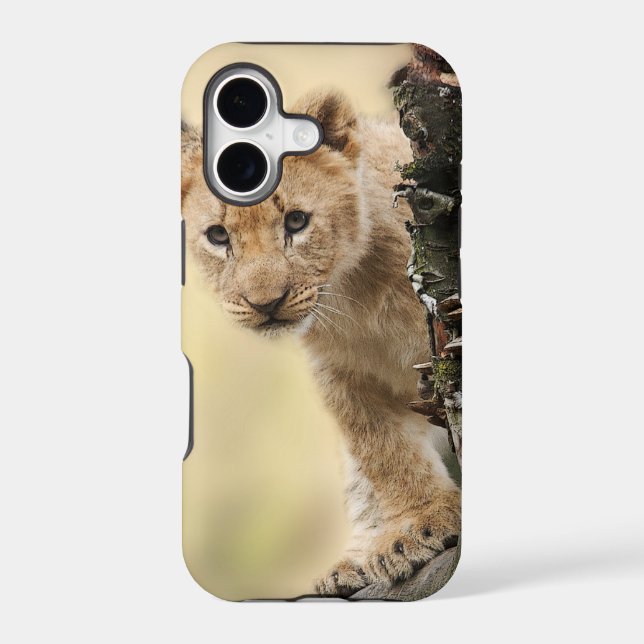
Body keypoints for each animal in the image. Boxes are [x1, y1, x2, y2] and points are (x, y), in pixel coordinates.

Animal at [181, 90, 461, 597]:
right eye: (217, 235)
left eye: (297, 221)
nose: (265, 304)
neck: (355, 294)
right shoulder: (339, 373)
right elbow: (381, 450)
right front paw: (416, 525)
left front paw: (424, 526)